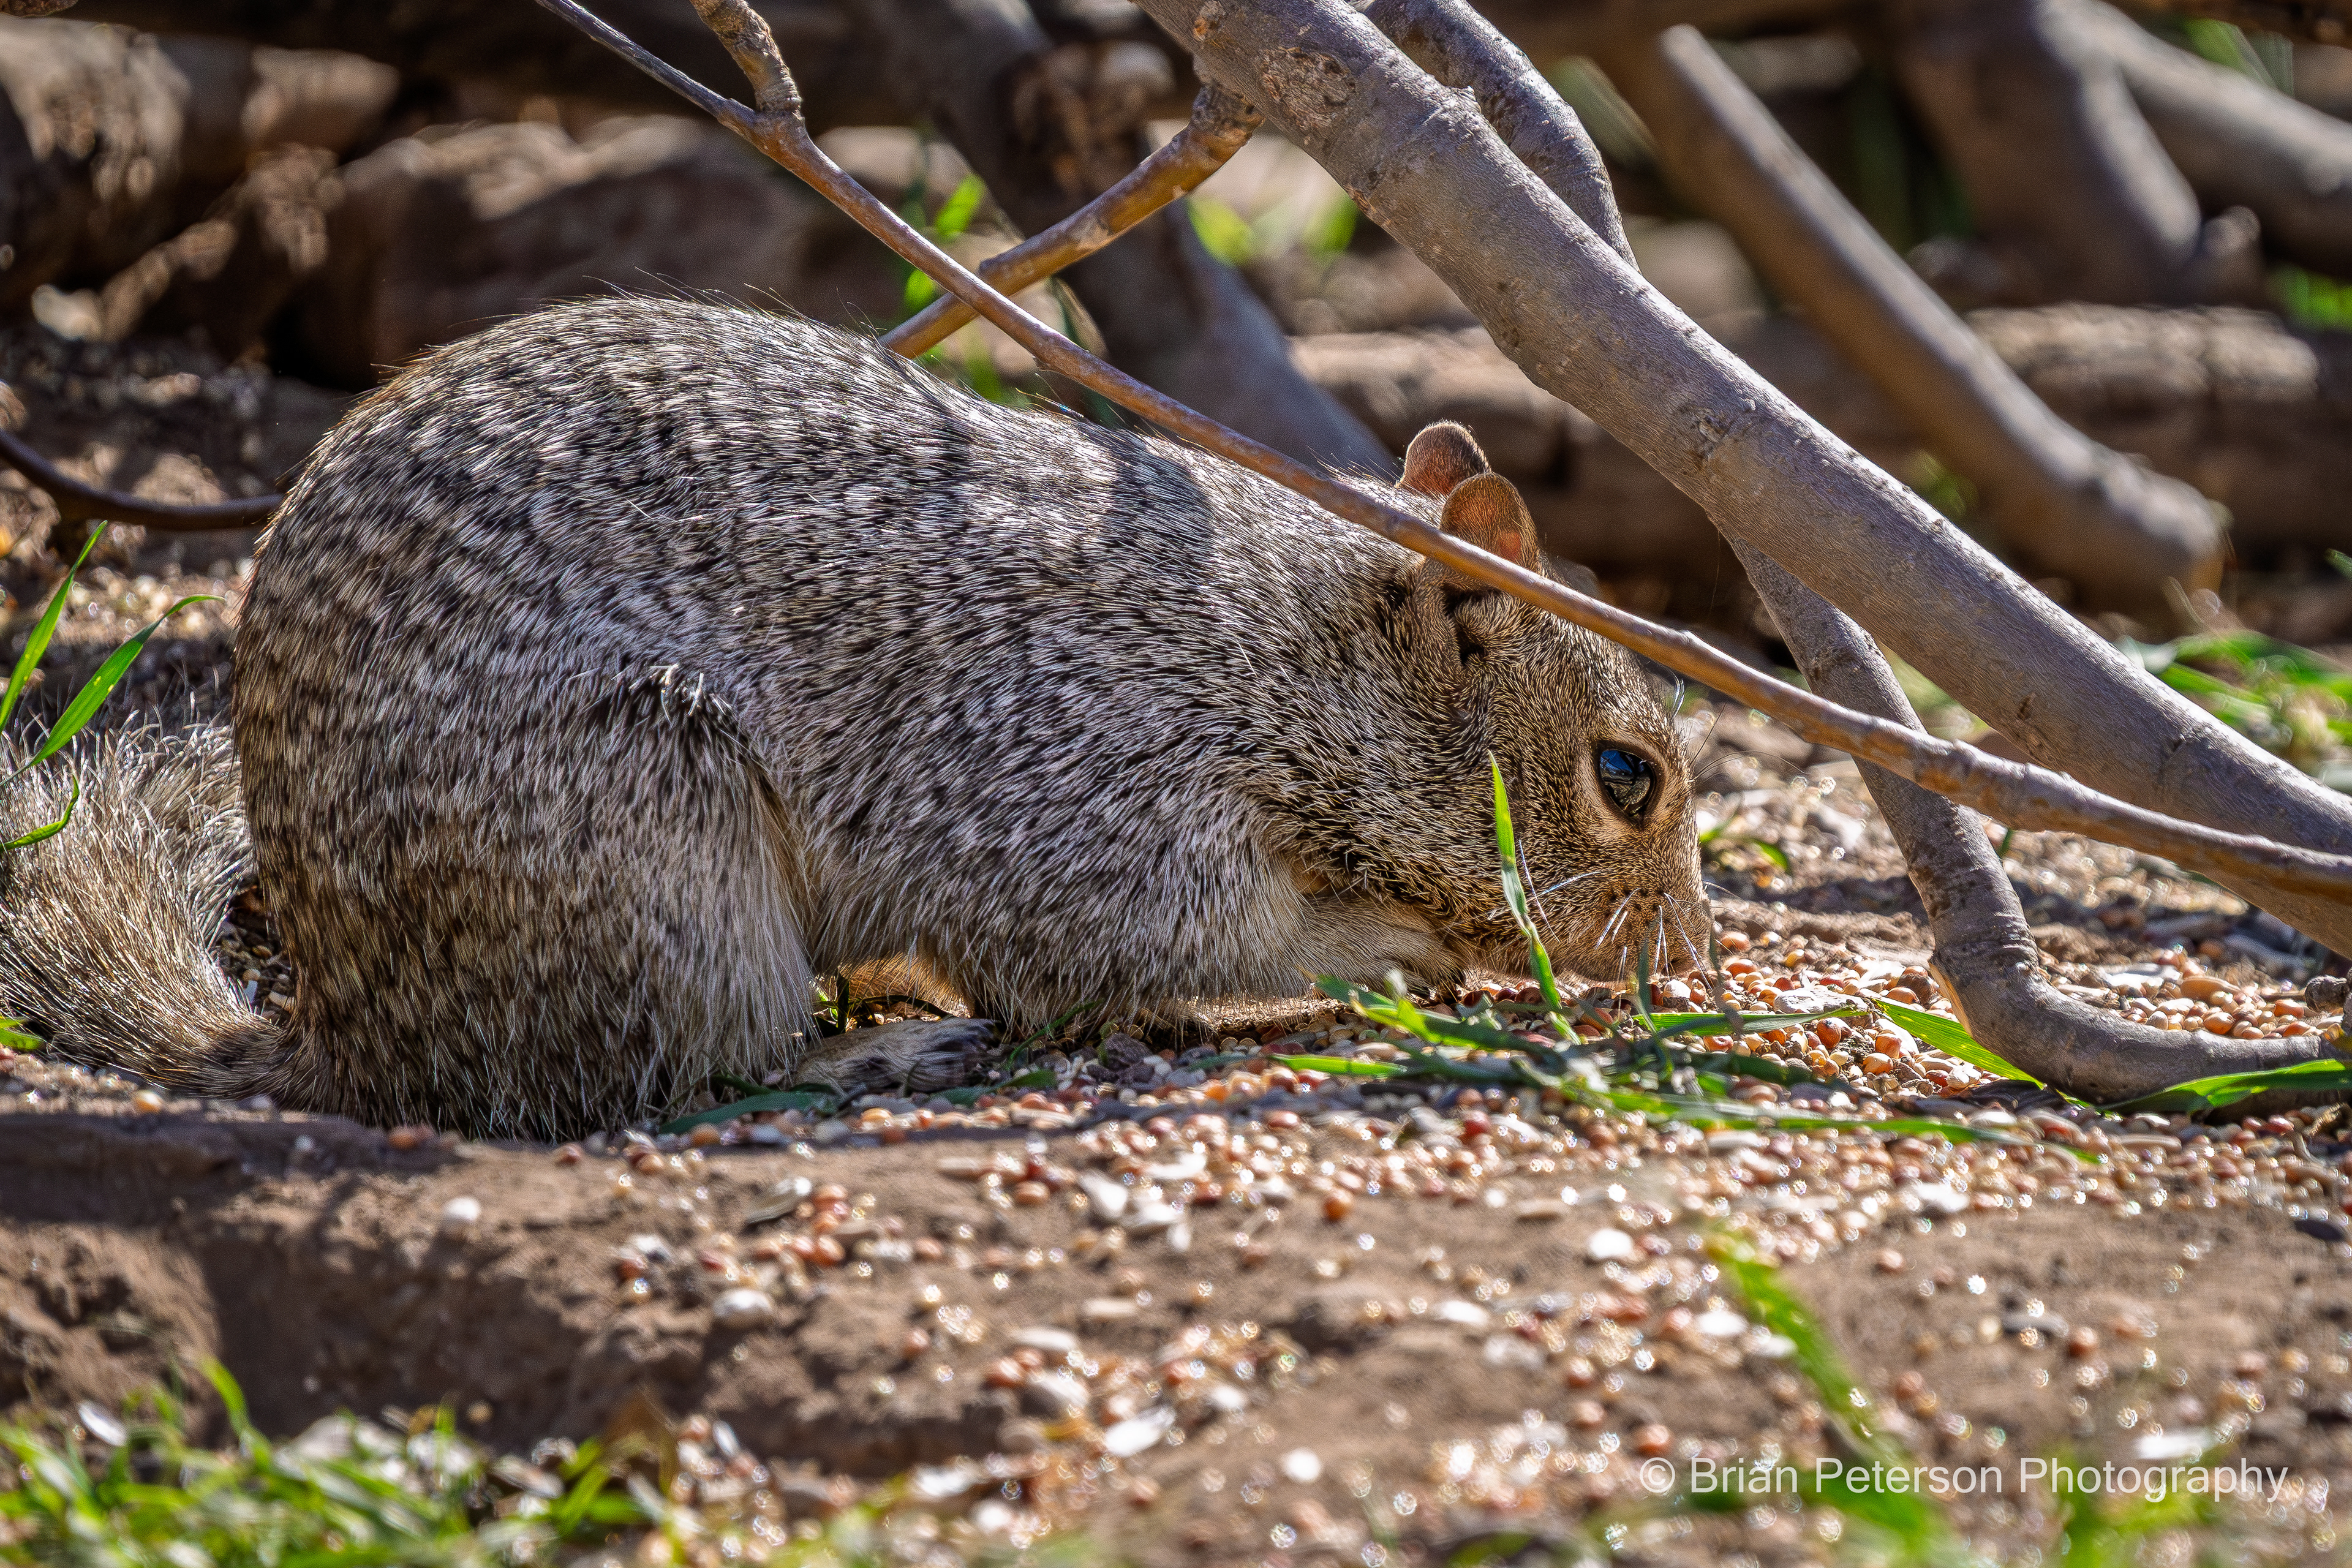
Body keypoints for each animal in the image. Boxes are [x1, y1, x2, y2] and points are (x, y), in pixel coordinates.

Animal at [0, 296, 1705, 1140]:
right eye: (1627, 774)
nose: (1690, 953)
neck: (1289, 649)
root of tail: (358, 1040)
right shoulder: (1094, 786)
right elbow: (1151, 947)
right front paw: (1384, 949)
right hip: (652, 856)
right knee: (673, 1080)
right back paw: (877, 1055)